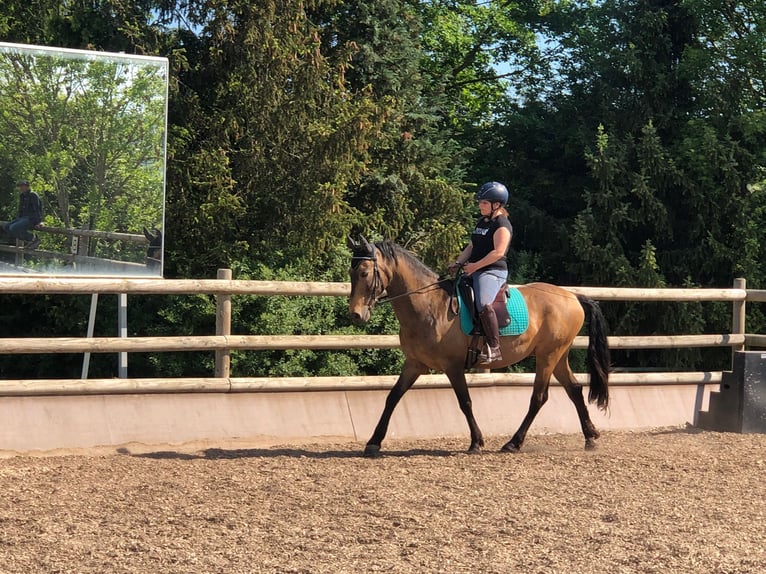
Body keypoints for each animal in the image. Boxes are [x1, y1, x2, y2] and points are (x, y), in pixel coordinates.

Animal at [350, 238, 612, 460]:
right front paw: (373, 442)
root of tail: (573, 296)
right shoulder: (415, 364)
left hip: (548, 356)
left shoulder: (453, 366)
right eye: (351, 274)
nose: (356, 315)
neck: (429, 306)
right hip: (558, 355)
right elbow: (393, 397)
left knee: (539, 397)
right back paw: (590, 437)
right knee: (574, 389)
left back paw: (513, 443)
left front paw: (476, 442)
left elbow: (465, 401)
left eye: (364, 273)